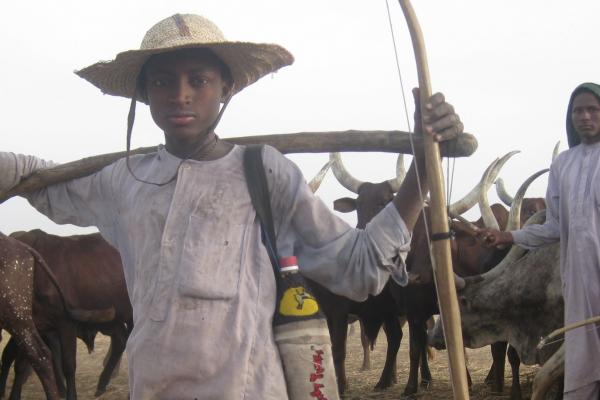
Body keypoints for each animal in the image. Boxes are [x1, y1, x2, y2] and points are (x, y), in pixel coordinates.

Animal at [7, 228, 131, 400]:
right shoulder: (27, 326)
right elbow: (21, 364)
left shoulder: (66, 323)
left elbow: (68, 365)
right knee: (121, 341)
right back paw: (102, 384)